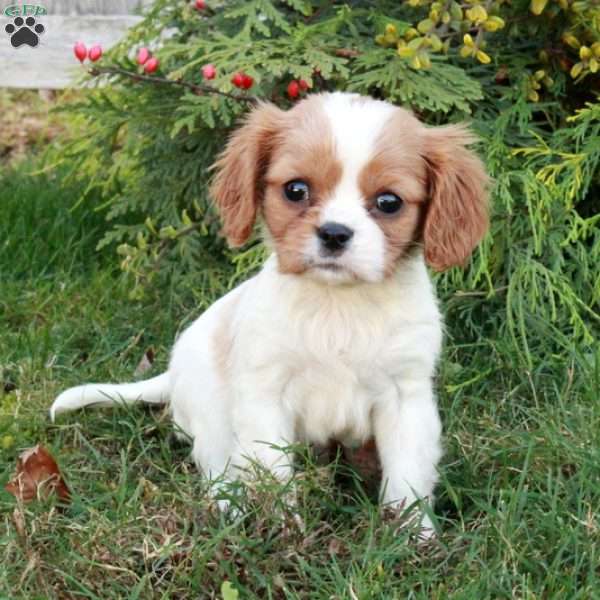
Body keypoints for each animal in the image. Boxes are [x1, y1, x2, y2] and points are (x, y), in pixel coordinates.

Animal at [50, 92, 488, 536]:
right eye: (296, 190)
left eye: (389, 202)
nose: (334, 233)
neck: (338, 304)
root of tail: (171, 372)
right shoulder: (265, 394)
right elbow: (273, 469)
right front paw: (284, 530)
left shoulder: (406, 397)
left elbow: (407, 474)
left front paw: (413, 535)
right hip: (211, 410)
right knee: (218, 466)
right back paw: (229, 509)